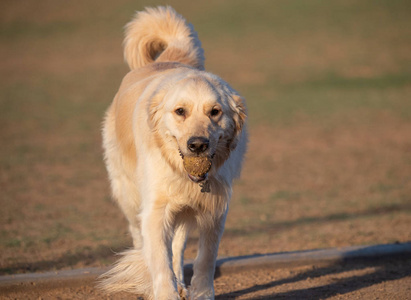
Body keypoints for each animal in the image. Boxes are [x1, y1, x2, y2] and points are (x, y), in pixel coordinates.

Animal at [100, 5, 248, 298]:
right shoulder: (156, 211)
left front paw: (201, 292)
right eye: (180, 111)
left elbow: (205, 259)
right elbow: (160, 262)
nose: (197, 144)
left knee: (177, 247)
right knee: (139, 236)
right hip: (128, 194)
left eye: (215, 112)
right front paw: (162, 290)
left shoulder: (213, 211)